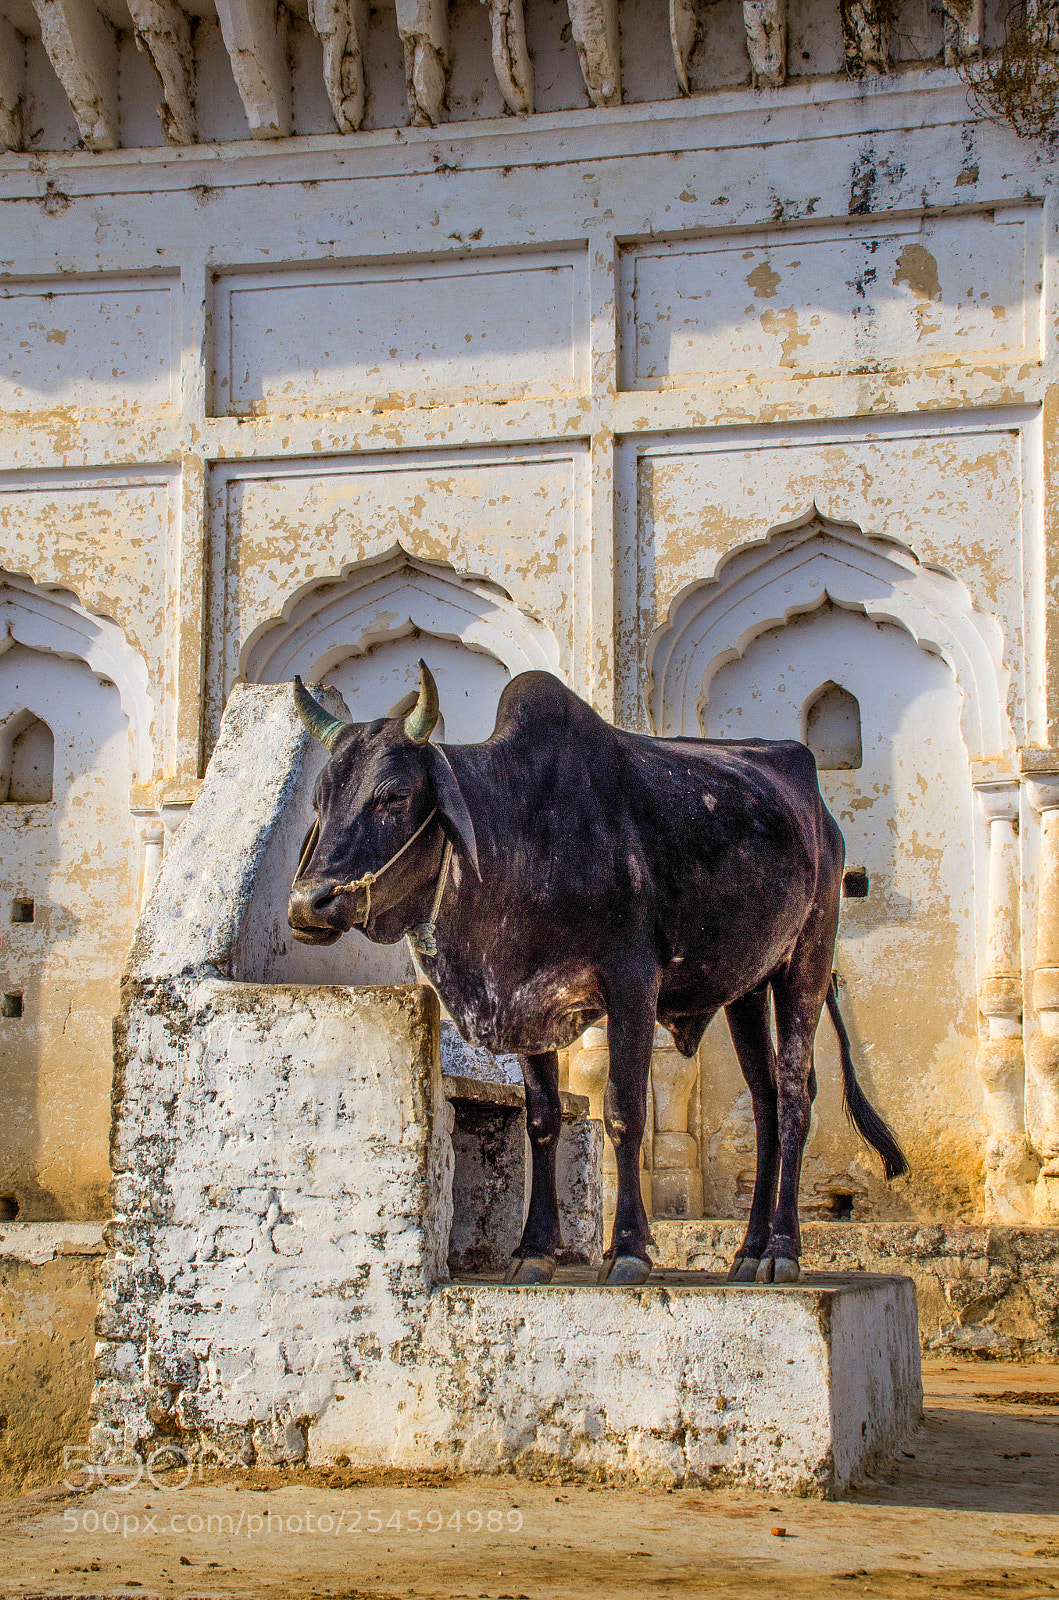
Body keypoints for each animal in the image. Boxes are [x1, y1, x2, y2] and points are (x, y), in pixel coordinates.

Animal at [288, 662, 908, 1287]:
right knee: (764, 1100)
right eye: (319, 799)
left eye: (394, 796)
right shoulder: (525, 1000)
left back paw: (783, 1249)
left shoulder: (632, 983)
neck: (521, 831)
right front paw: (534, 1250)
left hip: (806, 959)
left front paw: (629, 1247)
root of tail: (821, 809)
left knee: (794, 1094)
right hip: (747, 989)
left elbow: (623, 1111)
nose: (309, 904)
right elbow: (542, 1119)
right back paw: (749, 1250)